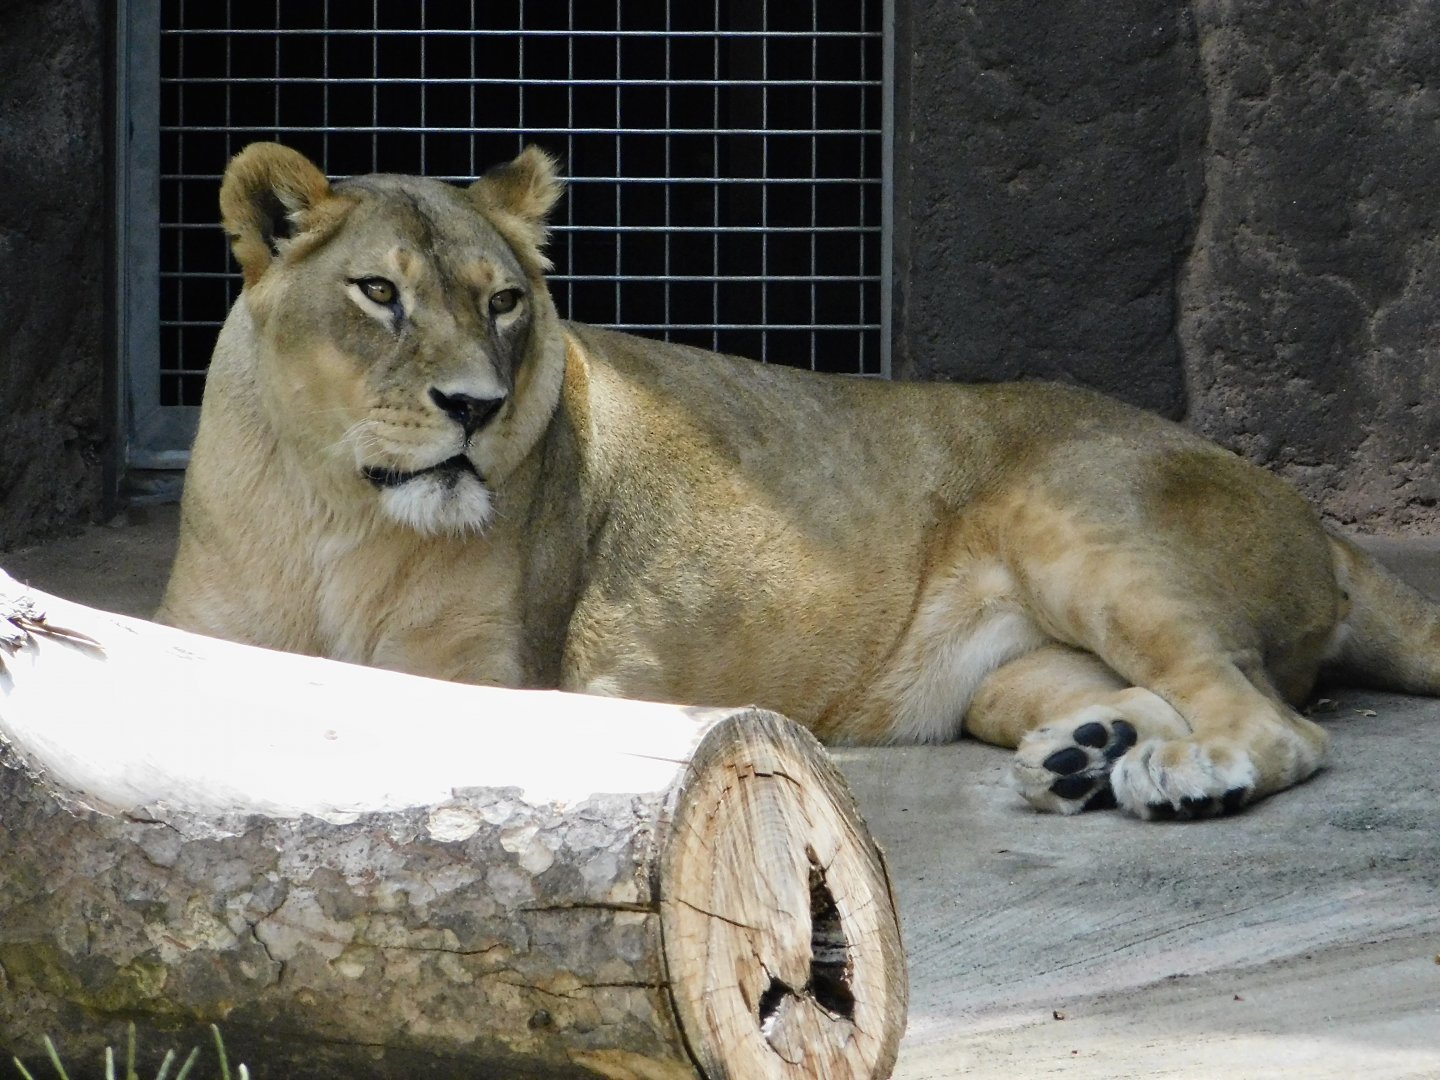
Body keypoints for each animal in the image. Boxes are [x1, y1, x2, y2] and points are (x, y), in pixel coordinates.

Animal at [157, 142, 1440, 820]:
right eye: (379, 293)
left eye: (504, 301)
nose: (473, 406)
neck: (335, 511)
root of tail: (1319, 521)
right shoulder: (199, 635)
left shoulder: (498, 672)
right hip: (1008, 671)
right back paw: (1089, 757)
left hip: (1081, 520)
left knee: (1274, 719)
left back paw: (1187, 779)